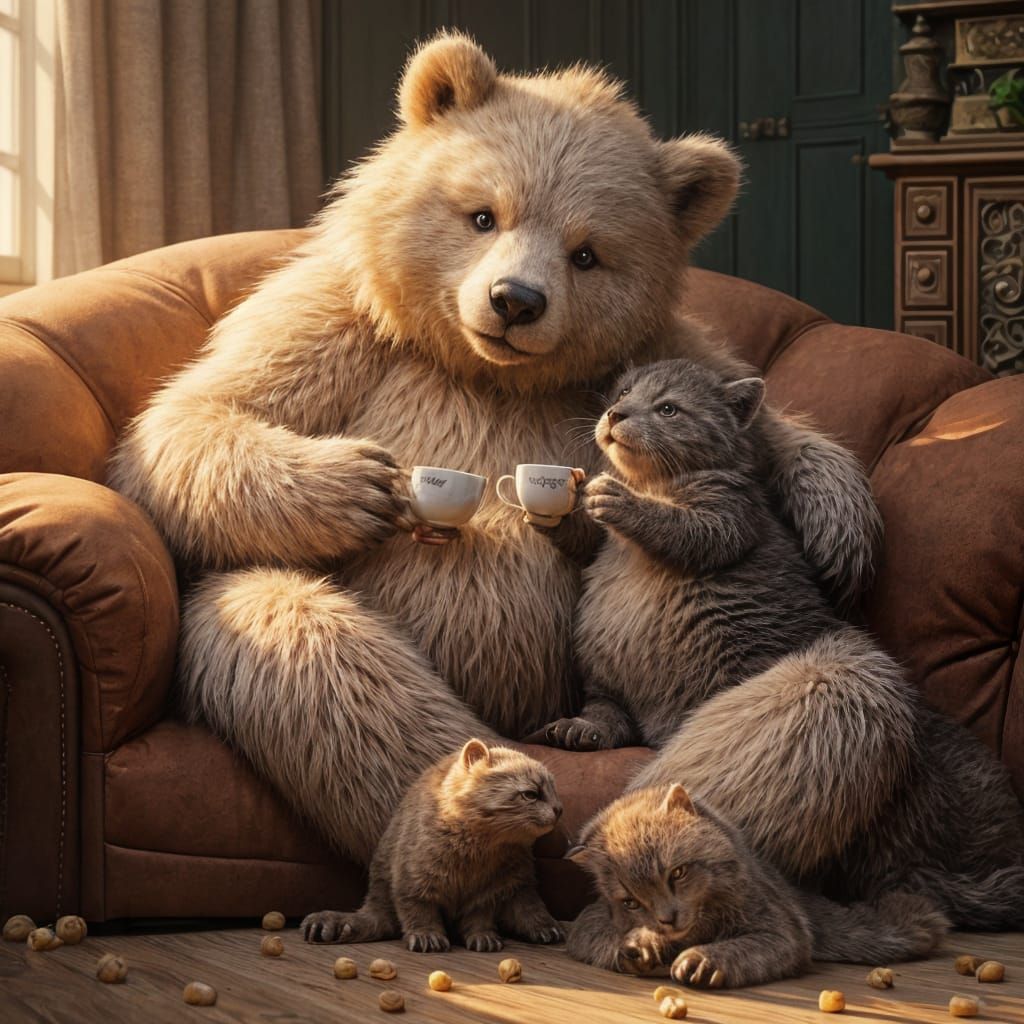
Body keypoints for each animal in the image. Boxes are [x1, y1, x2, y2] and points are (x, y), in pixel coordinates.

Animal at [108, 32, 884, 869]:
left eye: (587, 253)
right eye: (483, 213)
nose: (516, 300)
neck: (490, 373)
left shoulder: (644, 348)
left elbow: (749, 414)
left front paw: (839, 522)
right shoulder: (345, 326)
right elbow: (199, 416)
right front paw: (359, 483)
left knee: (825, 697)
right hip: (266, 618)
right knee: (316, 655)